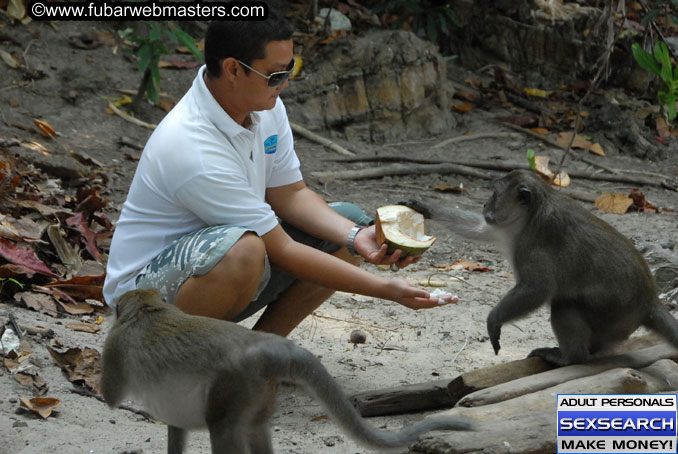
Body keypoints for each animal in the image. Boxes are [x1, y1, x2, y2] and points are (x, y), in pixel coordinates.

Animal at [101, 290, 472, 452]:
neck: (147, 307)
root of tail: (269, 346)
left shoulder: (114, 344)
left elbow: (111, 396)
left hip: (235, 384)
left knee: (223, 427)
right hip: (259, 389)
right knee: (253, 427)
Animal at [404, 168, 678, 368]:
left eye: (494, 194)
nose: (484, 205)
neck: (528, 216)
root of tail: (650, 301)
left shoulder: (534, 244)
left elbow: (537, 289)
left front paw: (494, 320)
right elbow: (479, 229)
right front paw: (424, 207)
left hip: (614, 314)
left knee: (564, 306)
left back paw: (571, 357)